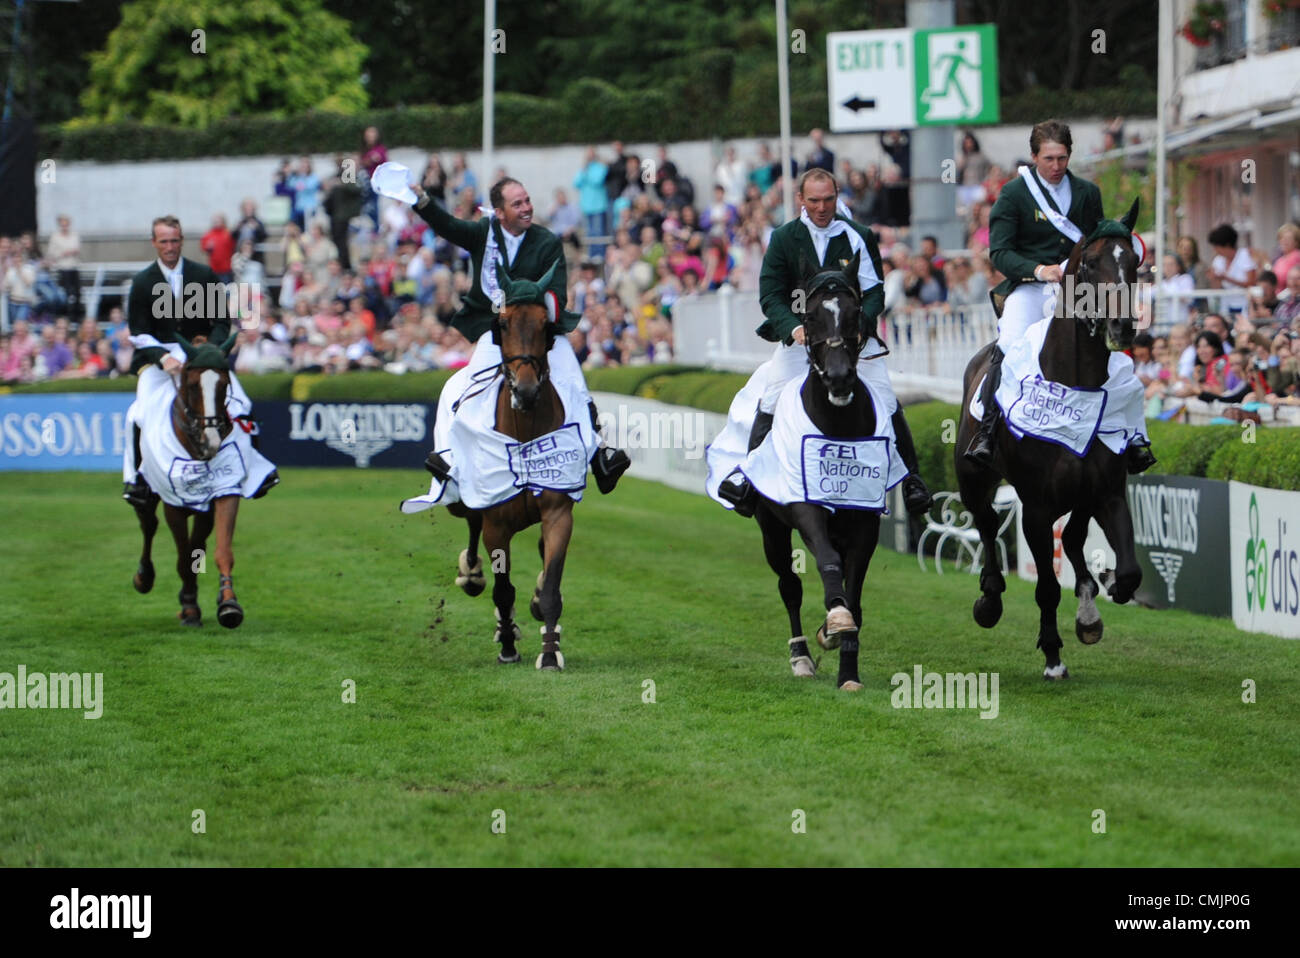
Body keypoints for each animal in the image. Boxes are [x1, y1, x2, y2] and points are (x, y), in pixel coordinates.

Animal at [129, 335, 266, 629]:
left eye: (224, 384)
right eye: (192, 385)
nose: (211, 442)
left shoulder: (223, 493)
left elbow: (216, 550)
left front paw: (228, 604)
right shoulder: (173, 505)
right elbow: (183, 556)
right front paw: (190, 608)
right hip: (147, 492)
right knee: (148, 524)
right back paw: (144, 577)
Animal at [447, 257, 574, 670]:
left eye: (546, 325)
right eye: (501, 324)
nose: (527, 389)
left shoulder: (558, 513)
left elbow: (551, 585)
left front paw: (549, 653)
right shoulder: (496, 525)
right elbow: (503, 590)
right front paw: (506, 644)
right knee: (470, 524)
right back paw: (471, 574)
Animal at [748, 252, 889, 686]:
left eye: (856, 312)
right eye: (809, 317)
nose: (840, 378)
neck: (838, 427)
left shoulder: (864, 521)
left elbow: (854, 594)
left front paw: (848, 670)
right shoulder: (805, 507)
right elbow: (827, 563)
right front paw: (834, 622)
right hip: (771, 528)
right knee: (789, 585)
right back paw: (801, 657)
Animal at [956, 200, 1149, 681]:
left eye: (1133, 263)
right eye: (1091, 263)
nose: (1122, 325)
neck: (1077, 385)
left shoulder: (1108, 492)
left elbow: (1128, 573)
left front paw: (1099, 599)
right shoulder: (1037, 508)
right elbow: (1045, 586)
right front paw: (1052, 655)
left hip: (1079, 496)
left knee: (1075, 539)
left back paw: (1088, 607)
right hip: (972, 478)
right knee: (986, 523)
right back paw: (989, 598)